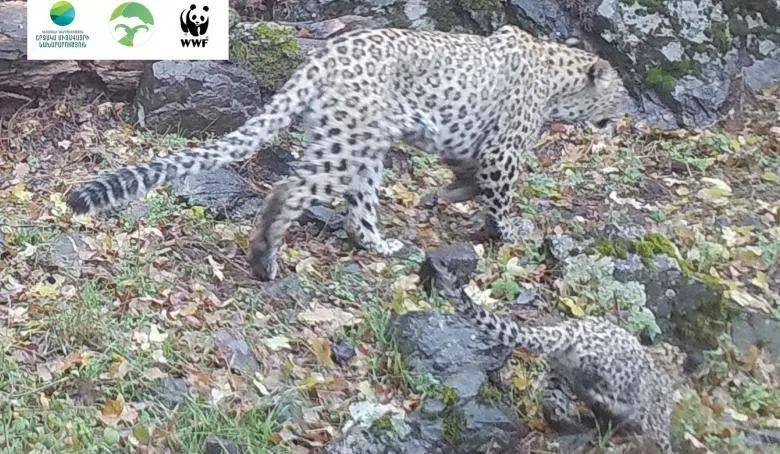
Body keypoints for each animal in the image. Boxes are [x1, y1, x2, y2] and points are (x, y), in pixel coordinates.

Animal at [65, 25, 628, 282]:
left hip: (361, 146)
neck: (558, 83)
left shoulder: (469, 143)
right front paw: (512, 231)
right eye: (621, 93)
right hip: (348, 146)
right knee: (290, 188)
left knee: (358, 209)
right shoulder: (504, 150)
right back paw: (265, 259)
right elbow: (502, 196)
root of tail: (326, 54)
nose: (624, 115)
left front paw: (448, 195)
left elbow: (464, 174)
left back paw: (379, 245)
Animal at [430, 259, 684, 454]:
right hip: (609, 373)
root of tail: (570, 329)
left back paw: (576, 425)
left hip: (558, 377)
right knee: (593, 389)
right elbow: (662, 439)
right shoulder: (657, 419)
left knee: (553, 408)